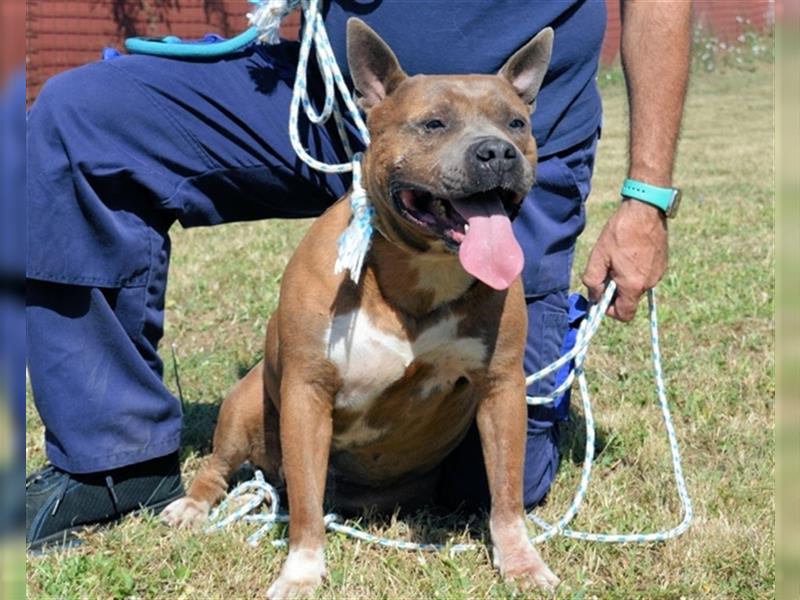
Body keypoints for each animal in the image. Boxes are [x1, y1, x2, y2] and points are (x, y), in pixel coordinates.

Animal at [164, 18, 556, 596]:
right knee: (221, 467)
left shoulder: (501, 387)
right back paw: (192, 507)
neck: (419, 269)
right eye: (433, 123)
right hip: (245, 407)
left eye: (517, 123)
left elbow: (506, 493)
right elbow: (305, 506)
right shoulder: (307, 391)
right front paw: (302, 571)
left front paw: (521, 562)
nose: (498, 152)